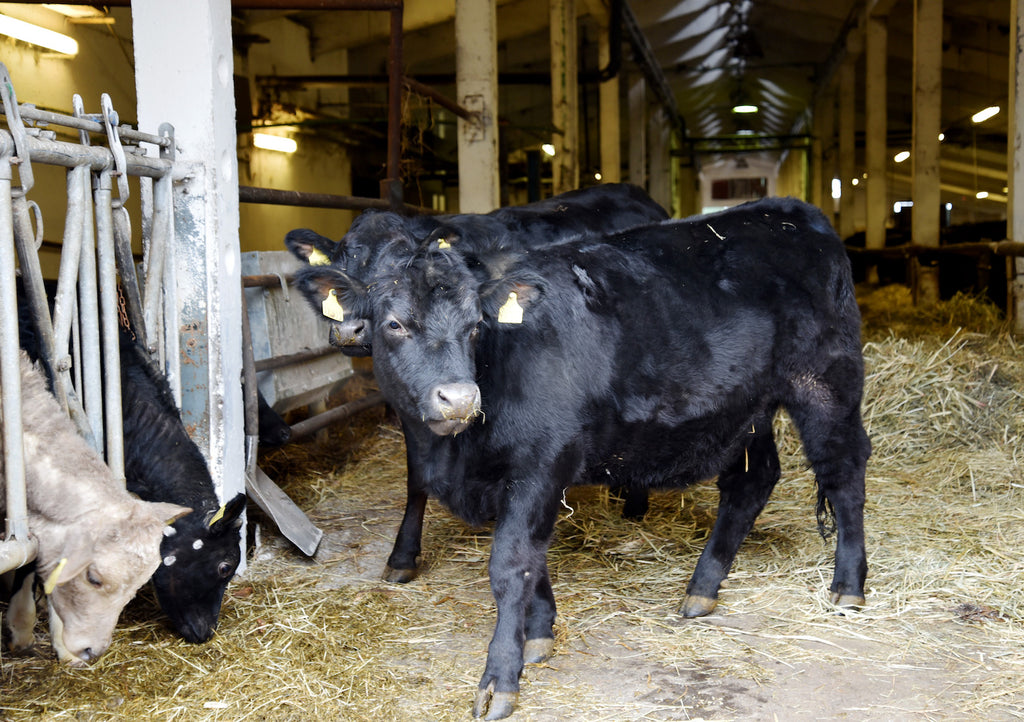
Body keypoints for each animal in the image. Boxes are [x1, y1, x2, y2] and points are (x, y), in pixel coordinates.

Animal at [284, 181, 667, 581]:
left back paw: (634, 505)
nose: (350, 330)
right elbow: (416, 475)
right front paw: (403, 555)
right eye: (342, 259)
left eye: (394, 263)